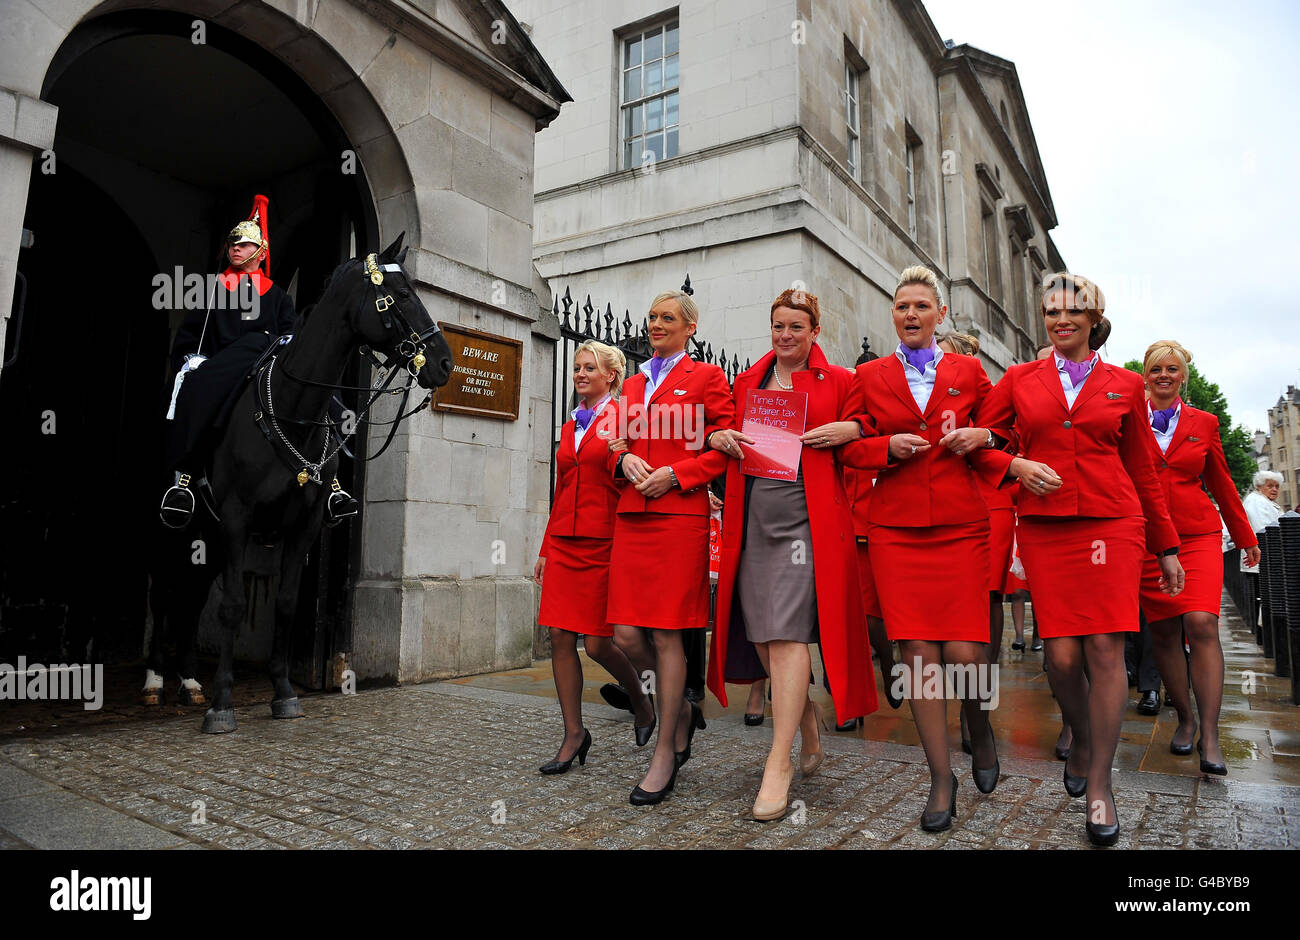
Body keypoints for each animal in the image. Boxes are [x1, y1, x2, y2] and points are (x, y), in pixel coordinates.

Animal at [197, 236, 452, 733]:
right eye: (404, 294)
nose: (446, 363)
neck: (294, 409)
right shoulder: (235, 517)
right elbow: (233, 604)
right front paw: (222, 702)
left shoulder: (307, 522)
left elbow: (287, 602)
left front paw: (282, 691)